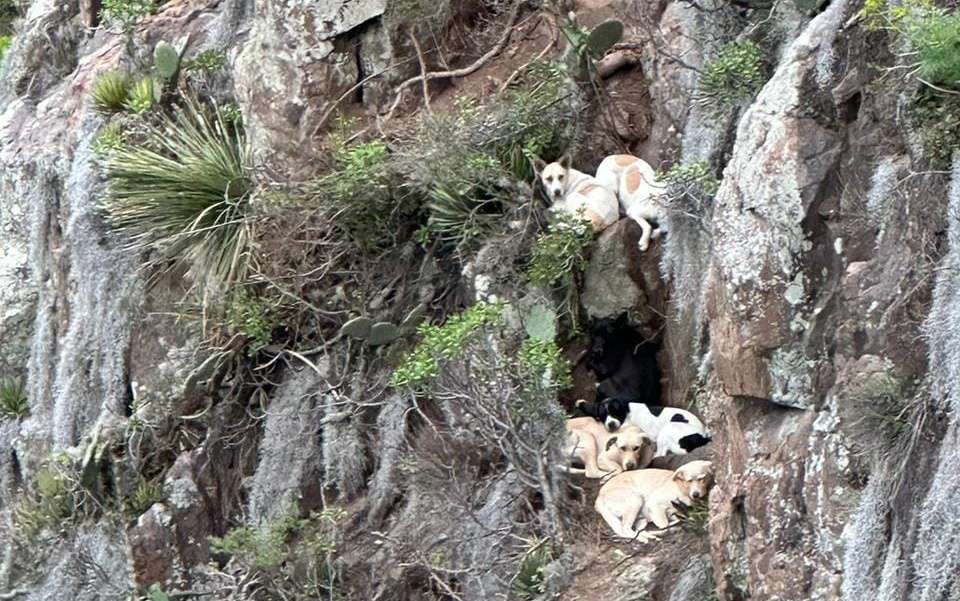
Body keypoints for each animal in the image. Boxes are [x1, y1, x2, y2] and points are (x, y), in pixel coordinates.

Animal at [572, 398, 708, 454]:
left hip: (667, 429)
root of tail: (701, 437)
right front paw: (581, 403)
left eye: (615, 412)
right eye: (603, 416)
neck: (627, 413)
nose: (611, 424)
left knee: (661, 453)